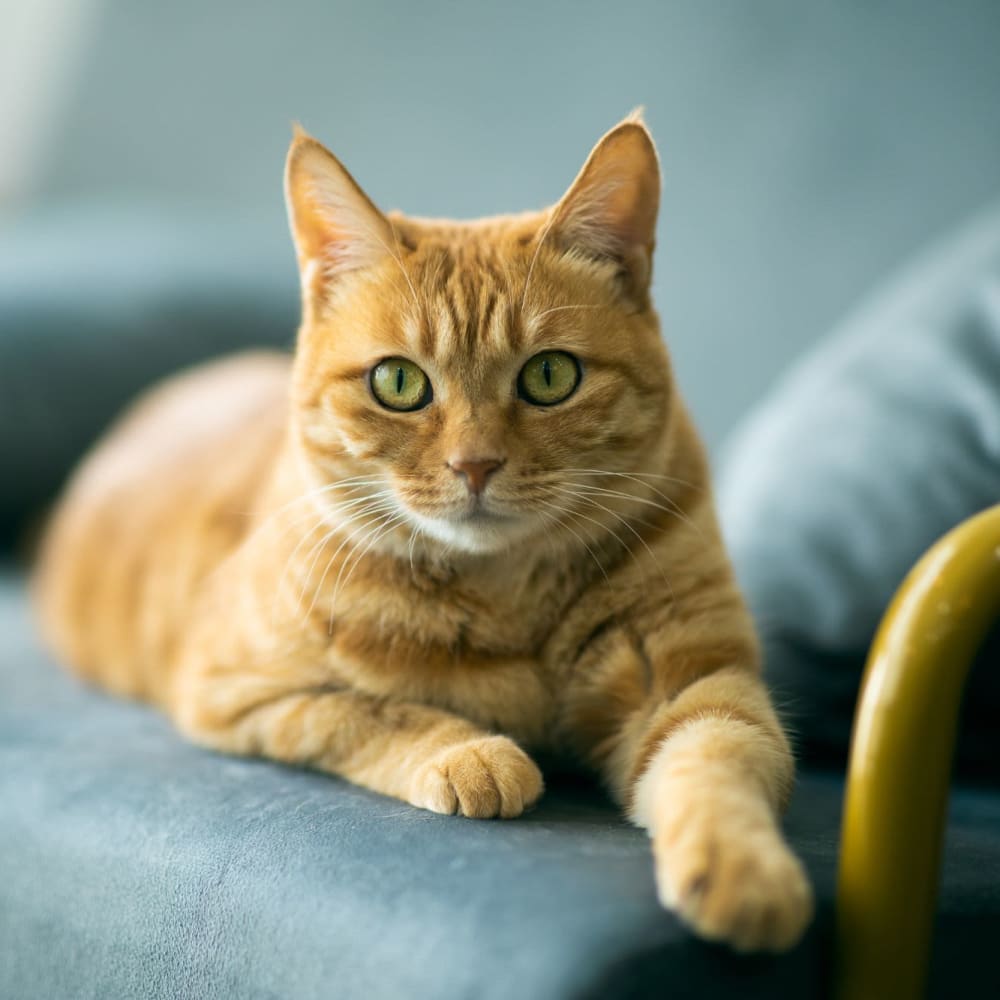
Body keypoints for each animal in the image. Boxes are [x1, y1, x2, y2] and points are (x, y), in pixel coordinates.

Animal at [35, 117, 812, 952]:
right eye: (398, 383)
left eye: (550, 376)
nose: (474, 465)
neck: (506, 595)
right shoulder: (236, 692)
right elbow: (368, 711)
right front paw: (471, 753)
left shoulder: (696, 683)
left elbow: (719, 761)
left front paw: (745, 874)